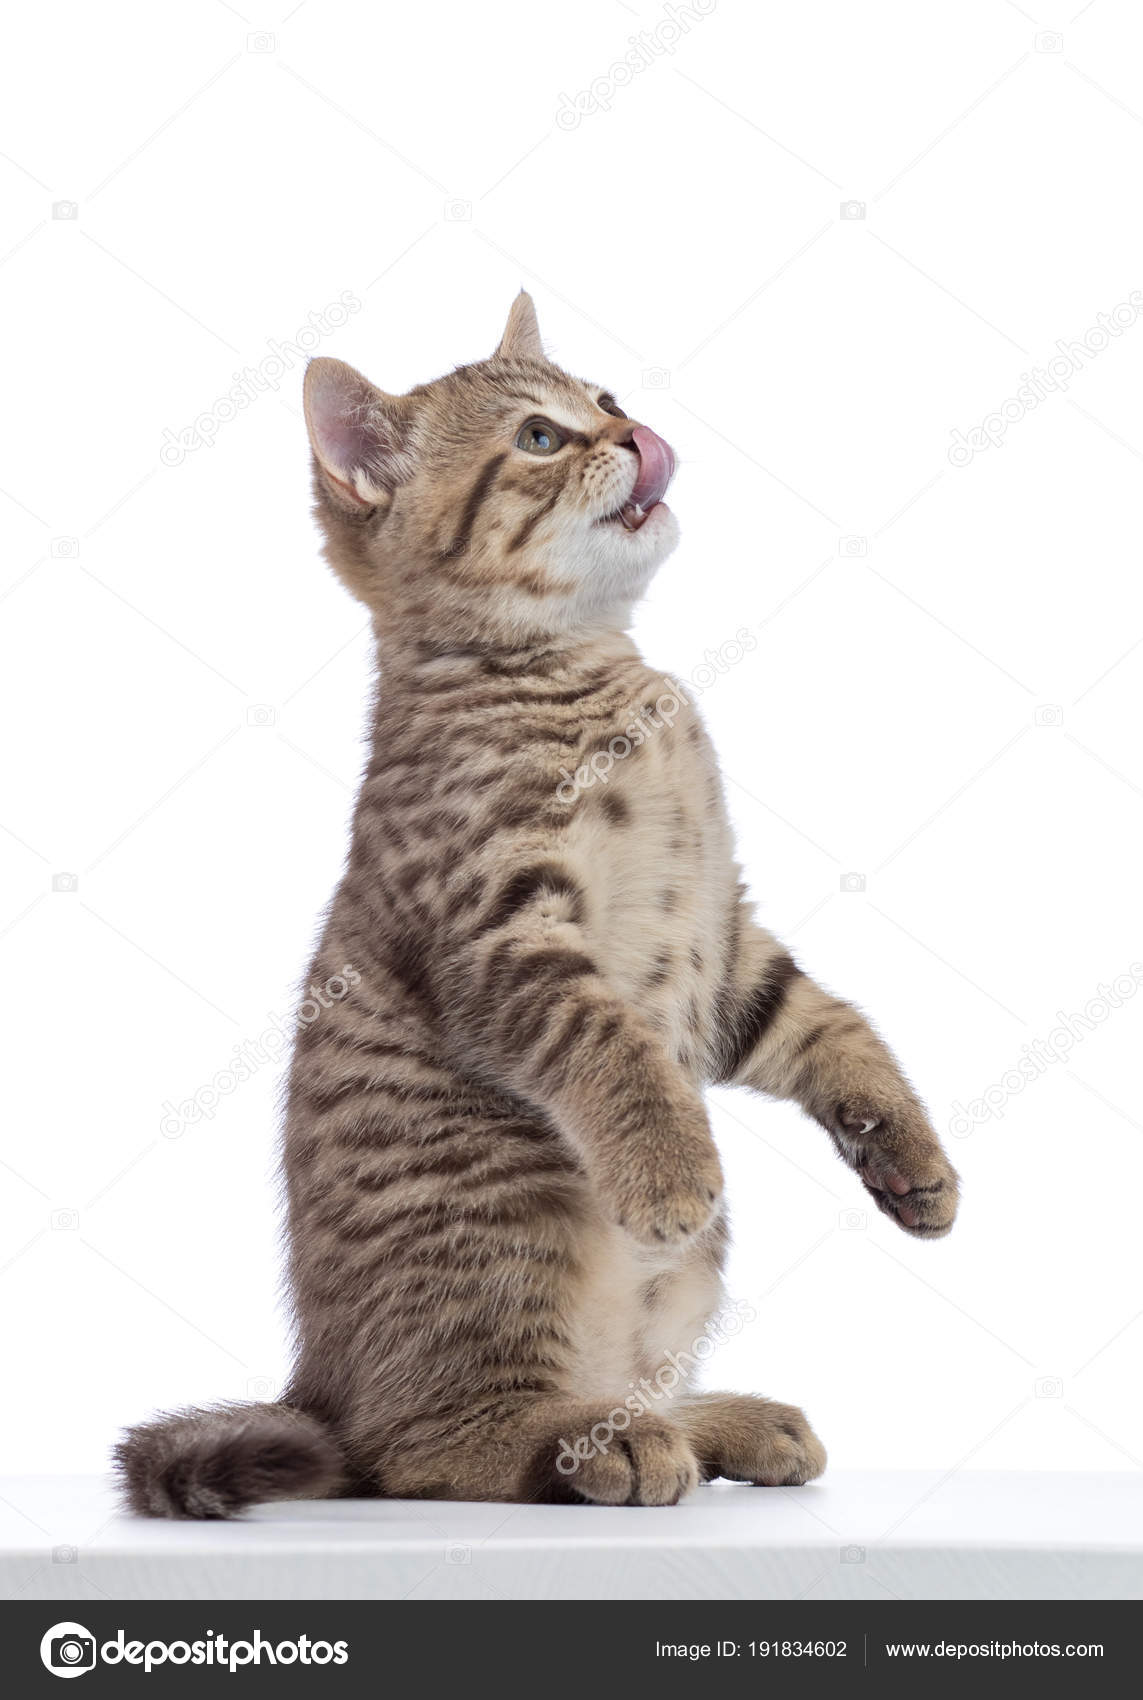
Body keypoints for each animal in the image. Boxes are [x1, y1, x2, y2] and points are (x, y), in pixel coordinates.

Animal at [118, 292, 952, 1516]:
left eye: (601, 398)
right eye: (541, 439)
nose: (633, 432)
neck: (583, 666)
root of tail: (318, 1387)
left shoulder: (729, 951)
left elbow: (833, 1025)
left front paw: (907, 1150)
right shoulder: (504, 935)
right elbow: (616, 1045)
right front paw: (672, 1164)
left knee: (612, 1390)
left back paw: (707, 1421)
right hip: (510, 1206)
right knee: (418, 1451)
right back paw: (592, 1443)